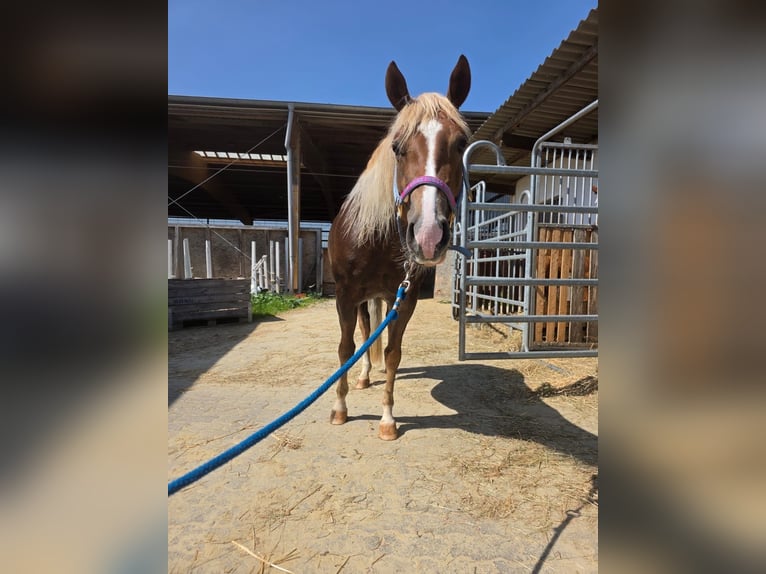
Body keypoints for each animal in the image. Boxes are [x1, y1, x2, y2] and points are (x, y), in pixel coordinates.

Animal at [327, 55, 471, 440]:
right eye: (397, 147)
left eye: (461, 143)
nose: (428, 235)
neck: (376, 241)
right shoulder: (345, 295)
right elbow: (346, 348)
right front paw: (340, 409)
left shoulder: (404, 299)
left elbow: (392, 353)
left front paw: (388, 420)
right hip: (361, 300)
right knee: (363, 334)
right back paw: (363, 377)